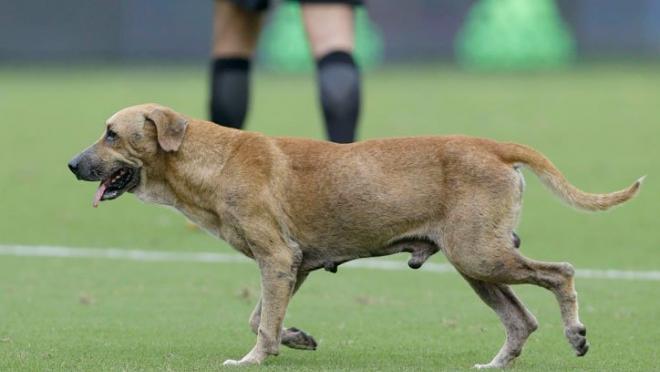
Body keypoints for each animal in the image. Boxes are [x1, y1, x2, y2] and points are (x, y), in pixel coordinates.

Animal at [69, 103, 640, 368]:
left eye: (112, 134)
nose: (73, 164)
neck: (212, 160)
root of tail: (493, 146)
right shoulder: (293, 264)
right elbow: (261, 316)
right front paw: (294, 337)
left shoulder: (276, 257)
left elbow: (260, 325)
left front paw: (255, 359)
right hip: (476, 262)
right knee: (521, 320)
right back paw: (495, 363)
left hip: (481, 255)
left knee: (561, 274)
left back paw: (576, 333)